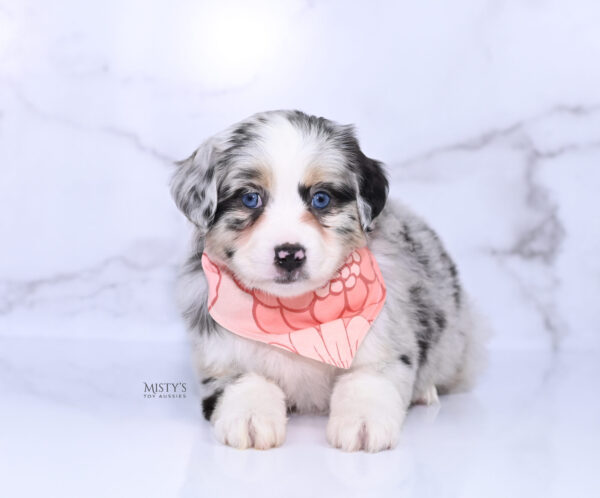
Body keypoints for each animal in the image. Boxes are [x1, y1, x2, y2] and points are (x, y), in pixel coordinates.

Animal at [170, 111, 488, 454]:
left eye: (321, 199)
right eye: (250, 198)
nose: (289, 254)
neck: (294, 311)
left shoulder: (385, 342)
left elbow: (368, 379)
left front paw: (363, 421)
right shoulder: (219, 357)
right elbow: (244, 381)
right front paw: (250, 416)